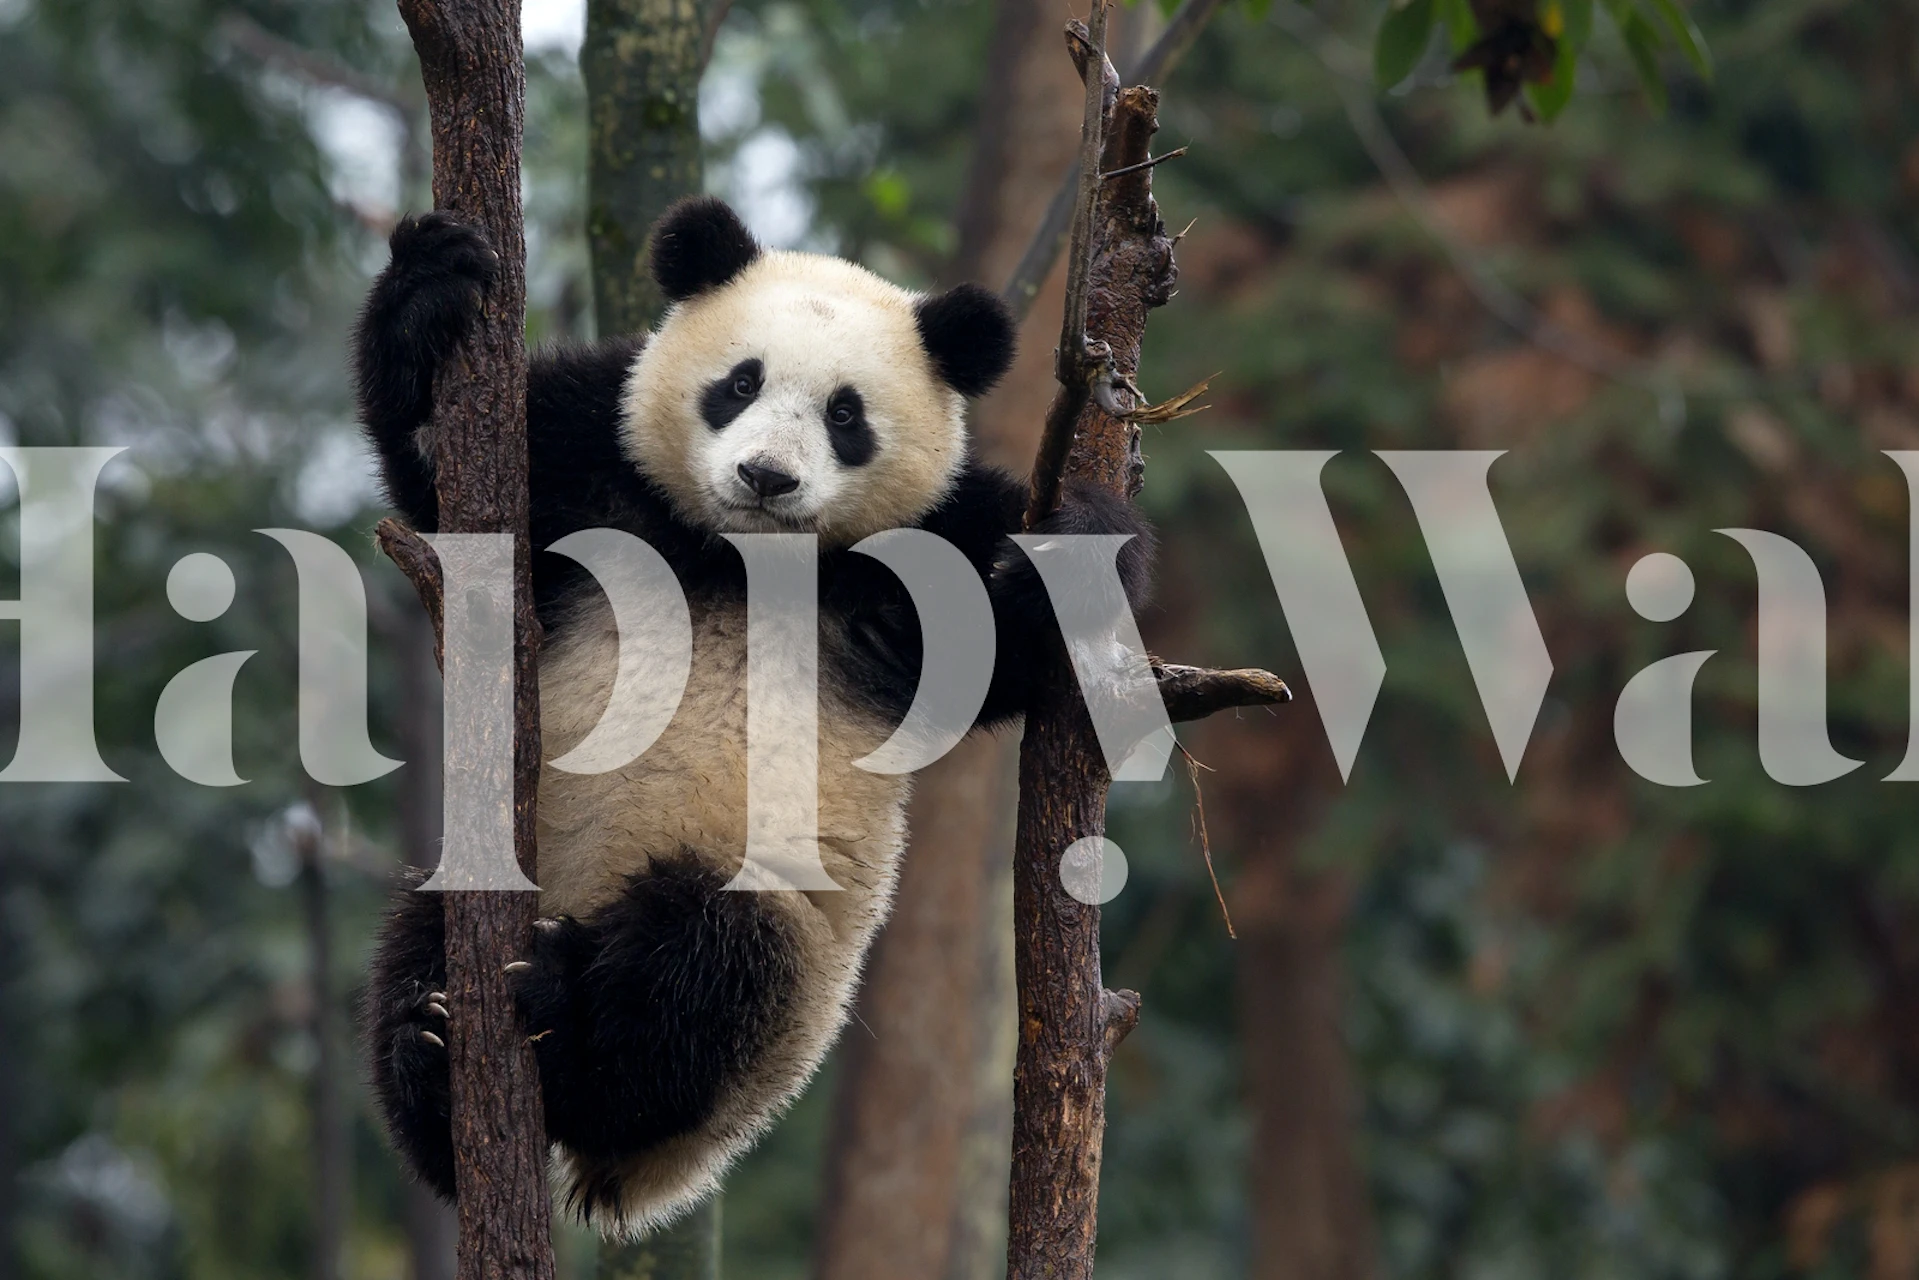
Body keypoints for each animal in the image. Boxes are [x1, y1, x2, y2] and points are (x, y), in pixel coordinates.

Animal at [356, 196, 1152, 1237]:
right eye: (740, 383)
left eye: (846, 414)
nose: (768, 477)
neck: (743, 555)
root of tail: (641, 1178)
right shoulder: (592, 459)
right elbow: (448, 500)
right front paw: (430, 290)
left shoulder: (928, 546)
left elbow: (1032, 644)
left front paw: (1071, 548)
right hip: (487, 863)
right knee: (419, 939)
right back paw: (432, 1056)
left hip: (784, 961)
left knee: (705, 973)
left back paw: (566, 1022)